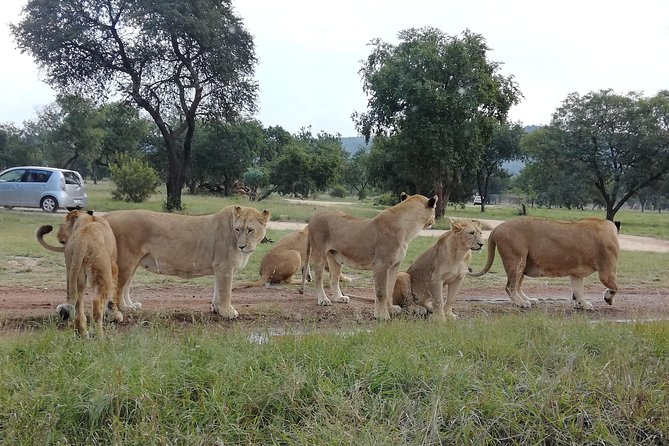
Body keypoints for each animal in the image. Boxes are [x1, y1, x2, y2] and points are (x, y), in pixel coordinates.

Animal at [301, 192, 438, 320]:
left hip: (335, 257)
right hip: (319, 253)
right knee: (319, 279)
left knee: (333, 279)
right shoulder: (381, 265)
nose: (434, 222)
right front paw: (382, 315)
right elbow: (382, 292)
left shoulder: (395, 265)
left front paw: (391, 309)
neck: (408, 229)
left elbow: (390, 289)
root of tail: (314, 216)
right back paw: (323, 300)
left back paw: (339, 297)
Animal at [469, 217, 620, 310]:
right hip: (517, 260)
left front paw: (582, 304)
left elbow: (577, 290)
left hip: (523, 263)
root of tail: (497, 228)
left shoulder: (576, 273)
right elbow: (615, 287)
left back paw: (529, 300)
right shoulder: (607, 272)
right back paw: (521, 303)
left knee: (517, 285)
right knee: (510, 287)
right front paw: (608, 298)